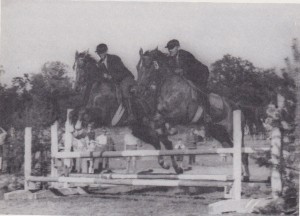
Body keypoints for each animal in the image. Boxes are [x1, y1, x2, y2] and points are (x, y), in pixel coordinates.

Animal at [71, 49, 250, 178]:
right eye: (74, 68)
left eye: (82, 67)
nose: (76, 87)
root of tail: (234, 104)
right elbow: (80, 113)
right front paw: (78, 131)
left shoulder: (104, 114)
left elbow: (85, 114)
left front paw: (79, 130)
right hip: (214, 132)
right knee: (163, 143)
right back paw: (170, 165)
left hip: (232, 130)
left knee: (241, 149)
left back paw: (245, 176)